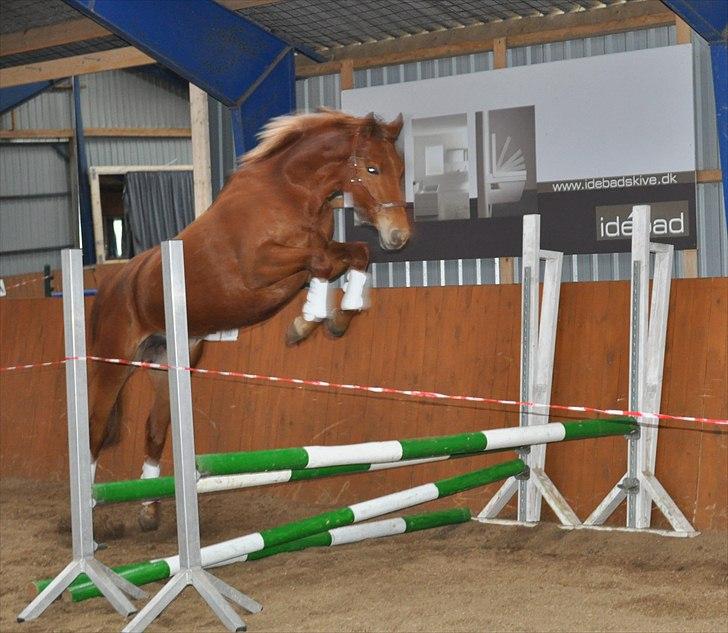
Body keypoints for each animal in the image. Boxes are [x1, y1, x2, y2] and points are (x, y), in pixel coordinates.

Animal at [86, 108, 410, 528]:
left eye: (400, 169)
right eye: (372, 168)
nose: (399, 236)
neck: (289, 192)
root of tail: (112, 284)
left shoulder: (313, 254)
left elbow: (352, 254)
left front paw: (335, 317)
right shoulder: (260, 268)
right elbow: (322, 260)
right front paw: (307, 322)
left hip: (167, 364)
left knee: (154, 430)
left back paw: (148, 509)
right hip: (112, 365)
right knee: (94, 429)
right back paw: (88, 508)